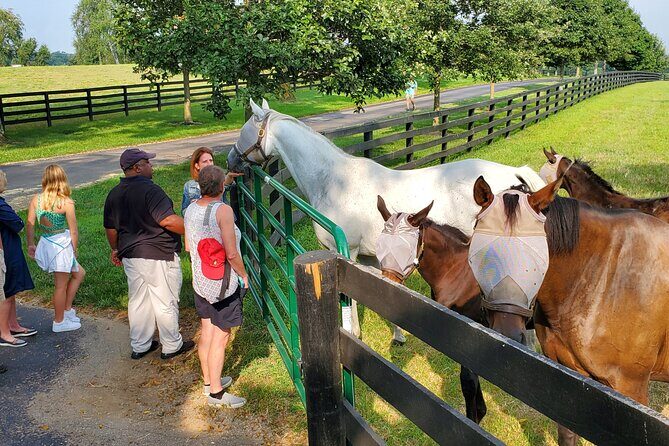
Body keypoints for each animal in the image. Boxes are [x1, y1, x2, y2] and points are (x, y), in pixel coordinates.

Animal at [228, 98, 546, 340]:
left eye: (243, 131)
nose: (231, 160)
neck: (334, 180)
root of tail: (514, 174)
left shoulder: (347, 252)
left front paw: (354, 334)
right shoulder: (371, 256)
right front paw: (398, 334)